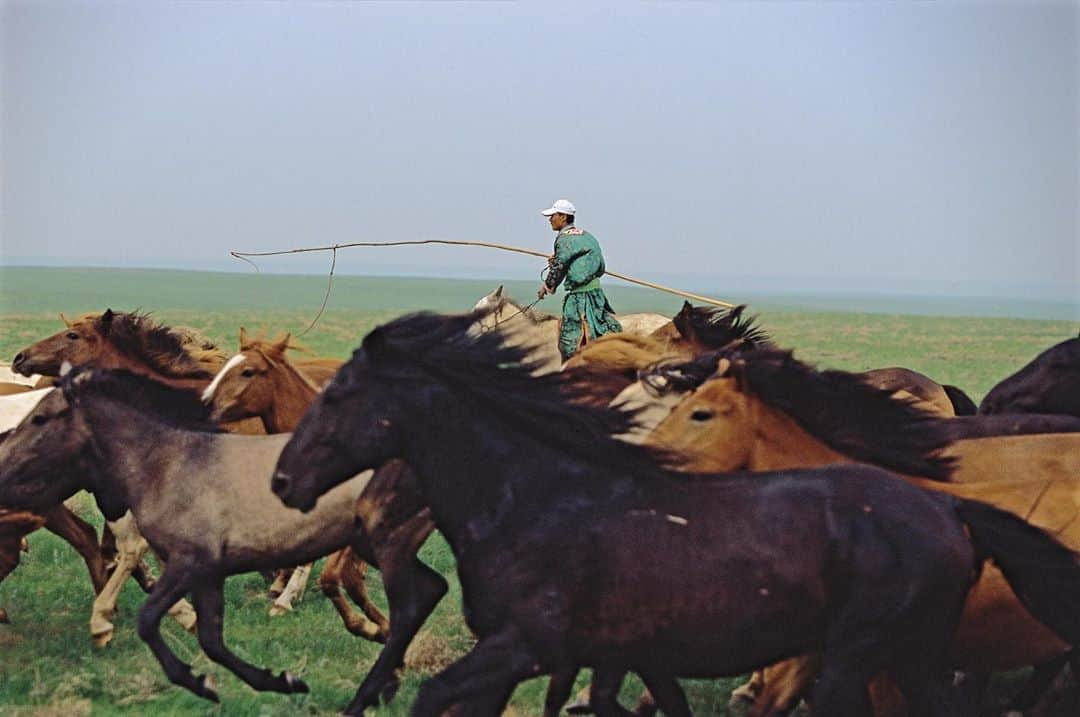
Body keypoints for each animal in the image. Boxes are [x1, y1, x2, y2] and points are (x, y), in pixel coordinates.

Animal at [272, 313, 1080, 717]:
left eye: (340, 395)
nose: (284, 479)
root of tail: (951, 511)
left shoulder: (533, 642)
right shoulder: (615, 647)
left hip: (871, 653)